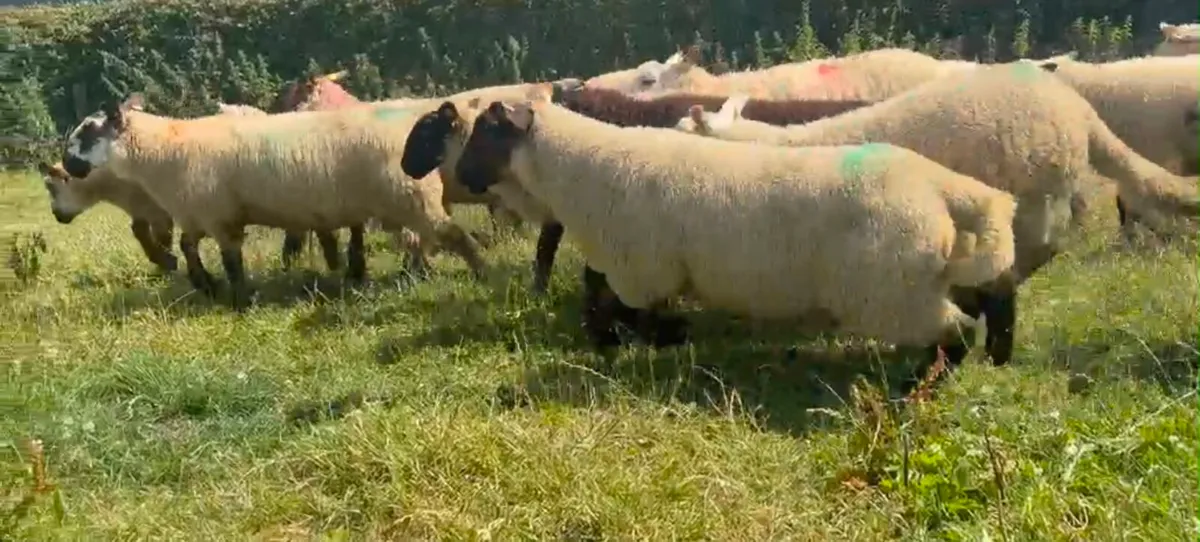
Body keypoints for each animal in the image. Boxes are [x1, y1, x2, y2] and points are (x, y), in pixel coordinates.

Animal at [60, 93, 488, 310]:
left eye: (88, 132)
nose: (67, 164)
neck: (165, 150)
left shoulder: (220, 215)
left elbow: (232, 260)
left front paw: (238, 298)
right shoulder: (199, 212)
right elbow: (187, 246)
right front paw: (205, 284)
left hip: (409, 197)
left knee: (449, 235)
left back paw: (479, 273)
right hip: (406, 199)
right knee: (427, 239)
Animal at [449, 87, 1019, 385]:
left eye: (487, 132)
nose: (464, 179)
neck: (583, 168)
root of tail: (943, 188)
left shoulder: (644, 268)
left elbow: (629, 314)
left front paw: (667, 336)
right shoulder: (637, 269)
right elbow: (607, 307)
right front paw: (623, 342)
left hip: (889, 289)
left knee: (955, 328)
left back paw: (925, 382)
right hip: (924, 275)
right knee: (983, 300)